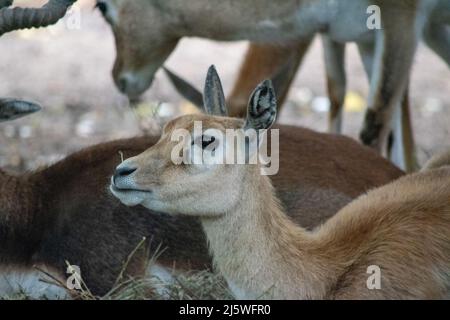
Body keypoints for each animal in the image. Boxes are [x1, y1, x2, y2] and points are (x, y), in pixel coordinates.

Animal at [96, 0, 448, 171]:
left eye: (101, 6)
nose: (119, 76)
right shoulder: (351, 35)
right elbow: (339, 94)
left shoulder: (399, 21)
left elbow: (376, 124)